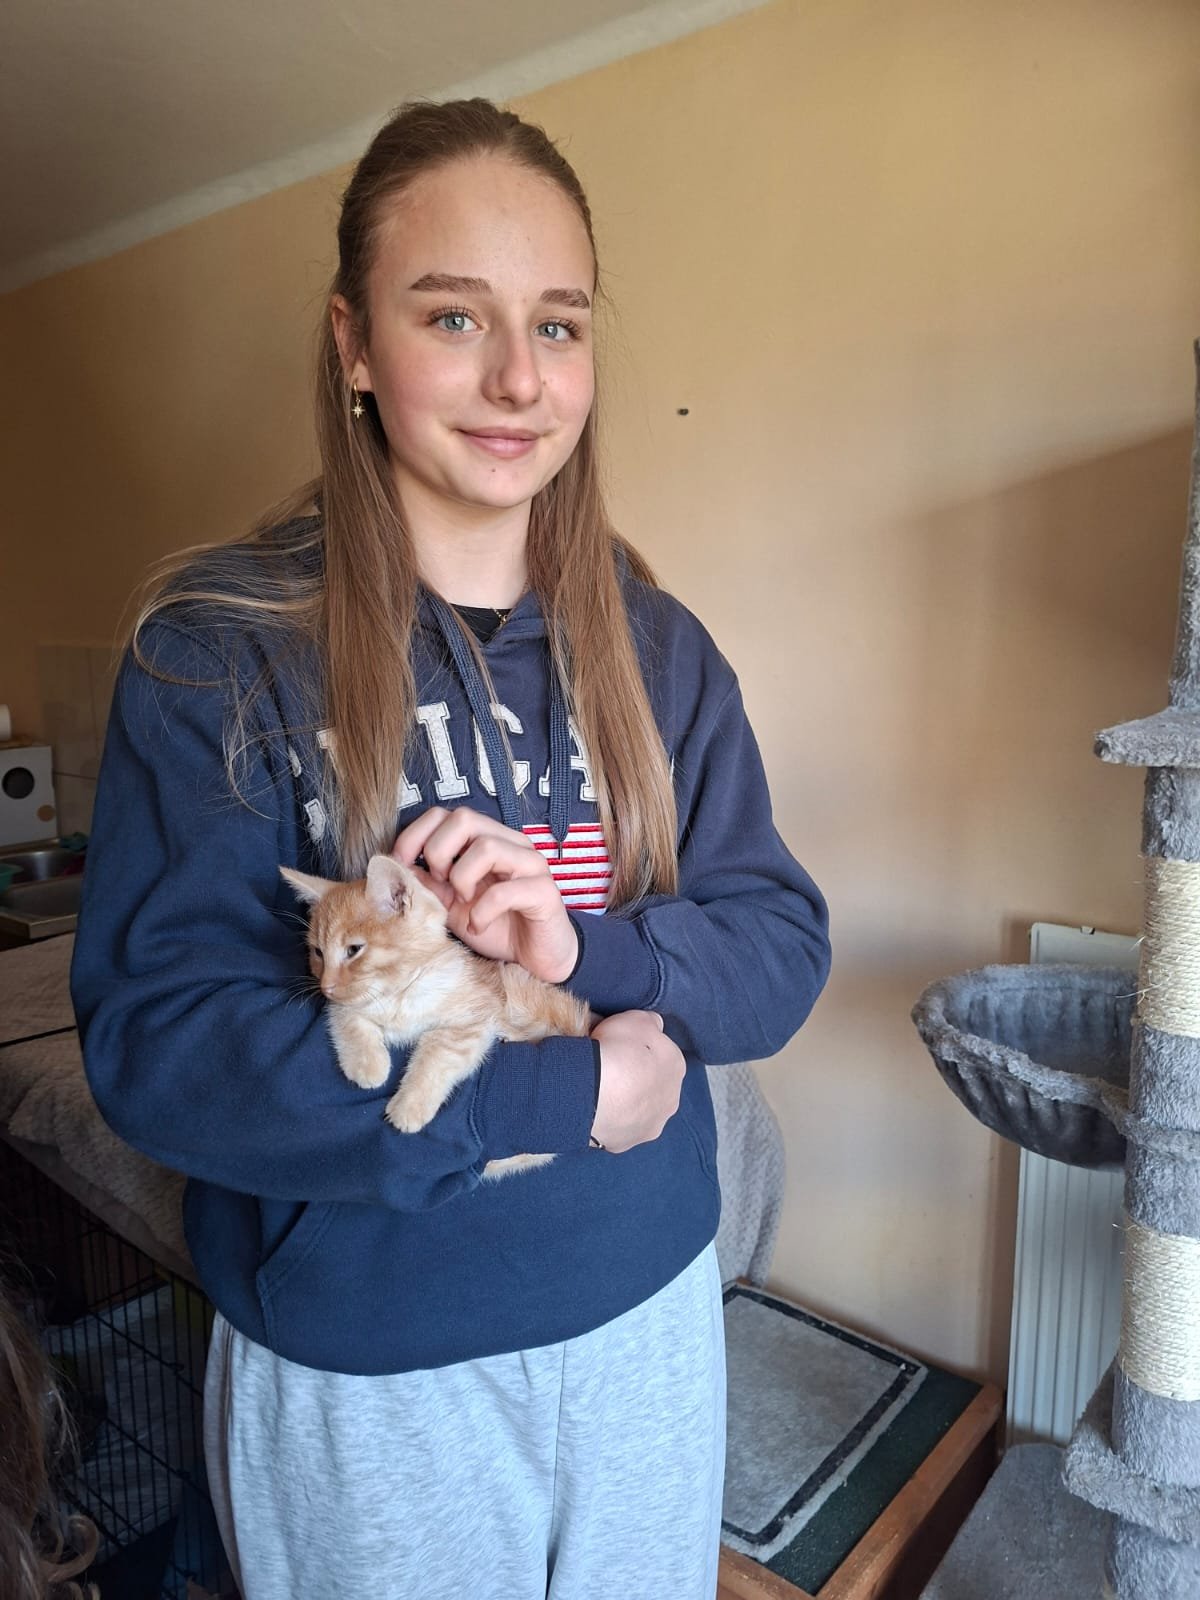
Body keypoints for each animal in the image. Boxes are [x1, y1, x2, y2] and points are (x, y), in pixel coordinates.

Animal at [280, 853, 592, 1178]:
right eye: (317, 952)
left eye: (354, 949)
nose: (325, 986)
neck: (397, 994)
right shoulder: (346, 1004)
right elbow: (345, 1016)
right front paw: (368, 1064)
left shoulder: (474, 1017)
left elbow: (437, 1053)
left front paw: (409, 1106)